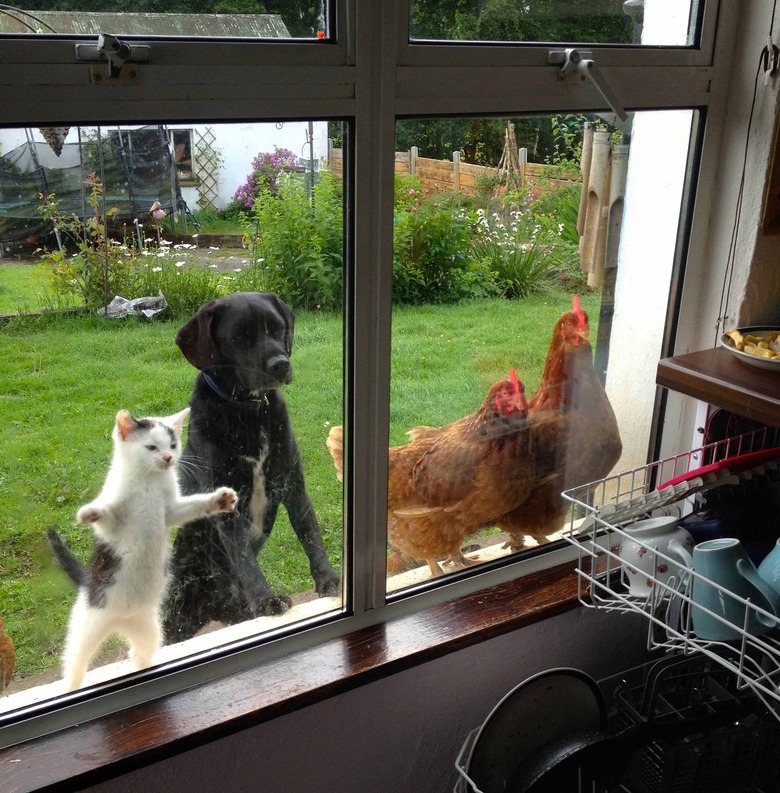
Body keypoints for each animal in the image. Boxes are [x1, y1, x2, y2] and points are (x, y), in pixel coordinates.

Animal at [47, 406, 236, 688]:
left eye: (172, 445)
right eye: (151, 447)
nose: (168, 457)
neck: (149, 482)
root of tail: (119, 621)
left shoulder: (171, 511)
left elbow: (190, 508)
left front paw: (218, 500)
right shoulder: (114, 523)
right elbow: (106, 517)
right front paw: (91, 513)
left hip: (148, 628)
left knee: (137, 652)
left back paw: (145, 668)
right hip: (87, 624)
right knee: (75, 662)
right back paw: (72, 686)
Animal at [165, 290, 342, 644]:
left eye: (277, 328)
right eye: (240, 337)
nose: (280, 364)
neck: (248, 410)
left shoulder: (293, 485)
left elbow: (311, 535)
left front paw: (327, 579)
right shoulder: (227, 506)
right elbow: (244, 557)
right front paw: (266, 600)